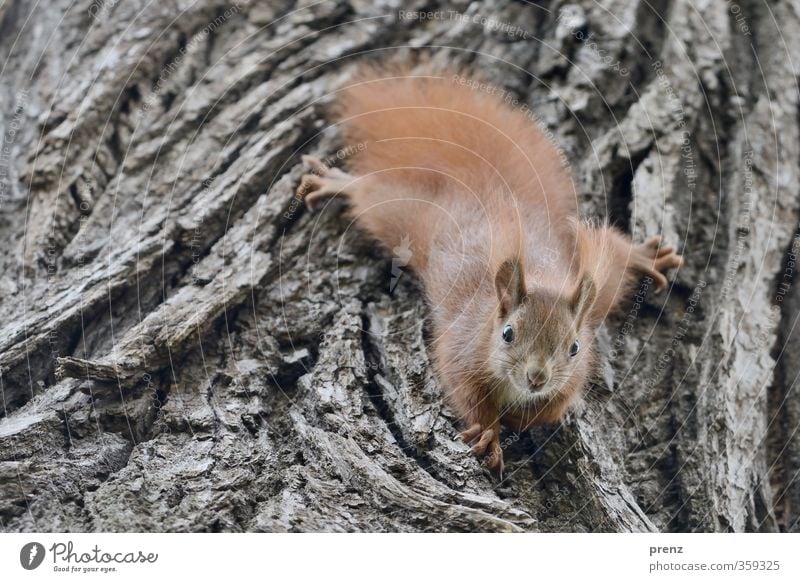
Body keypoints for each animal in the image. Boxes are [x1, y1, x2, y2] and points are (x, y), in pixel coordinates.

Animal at [296, 65, 684, 474]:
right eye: (508, 334)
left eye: (575, 347)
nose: (536, 377)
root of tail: (484, 186)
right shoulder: (461, 352)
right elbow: (470, 399)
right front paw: (490, 435)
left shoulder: (569, 381)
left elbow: (547, 410)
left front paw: (517, 418)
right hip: (408, 219)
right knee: (372, 198)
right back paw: (336, 182)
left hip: (589, 269)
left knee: (612, 251)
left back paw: (644, 256)